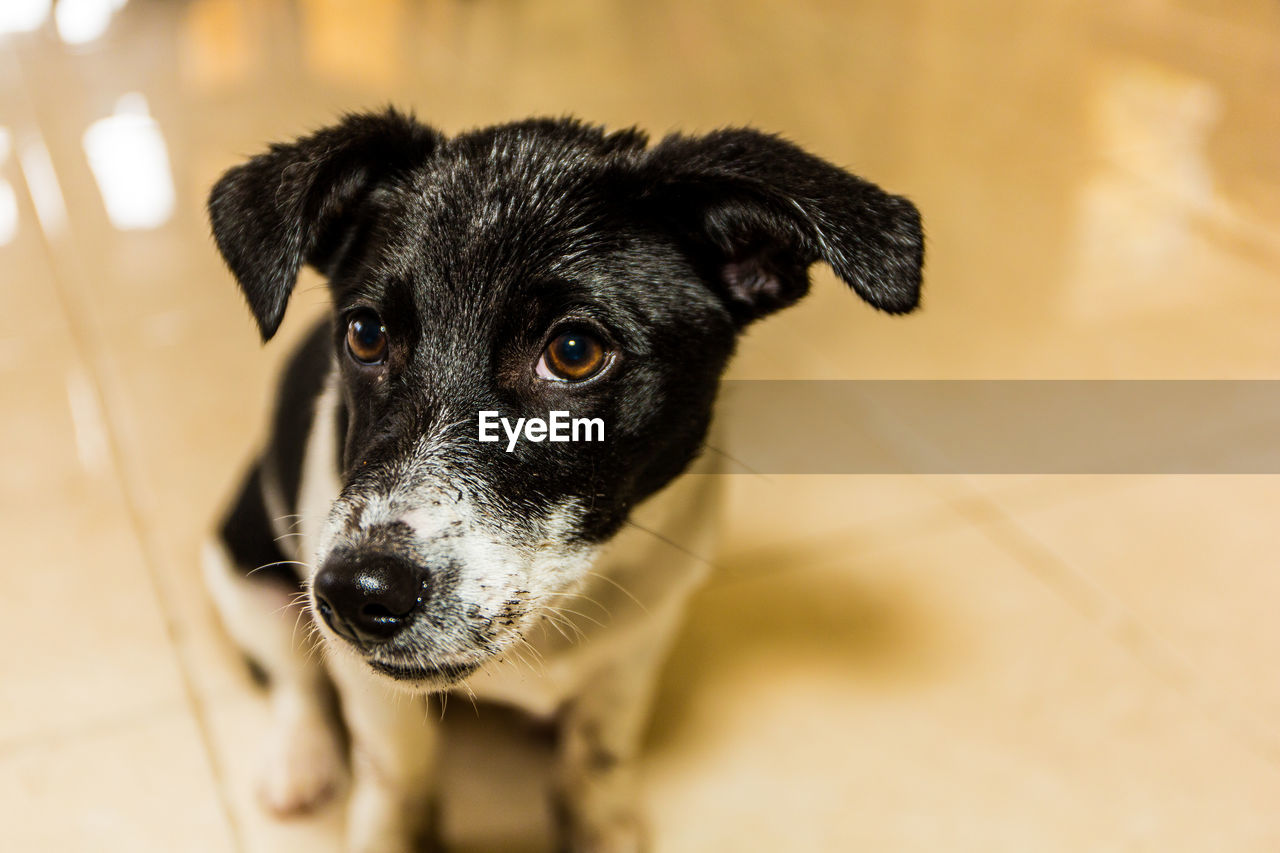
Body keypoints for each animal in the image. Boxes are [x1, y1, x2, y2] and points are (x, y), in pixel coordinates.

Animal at [197, 109, 921, 845]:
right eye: (365, 335)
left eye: (575, 352)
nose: (355, 593)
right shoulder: (373, 688)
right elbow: (398, 774)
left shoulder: (638, 648)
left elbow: (597, 754)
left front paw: (602, 825)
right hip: (241, 567)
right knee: (295, 679)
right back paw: (301, 760)